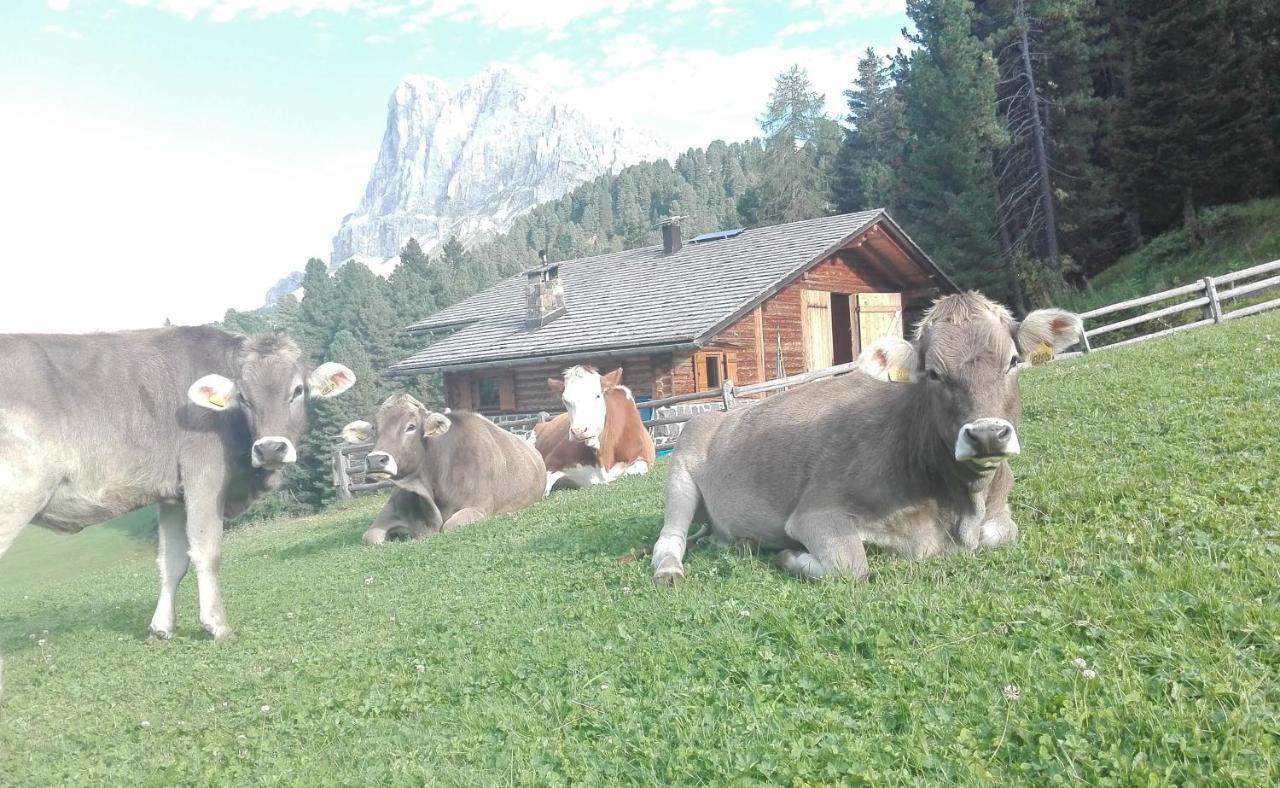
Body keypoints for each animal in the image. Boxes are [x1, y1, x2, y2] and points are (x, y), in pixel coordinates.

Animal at [0, 326, 355, 695]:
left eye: (297, 390)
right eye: (243, 396)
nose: (270, 448)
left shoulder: (172, 496)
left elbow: (171, 562)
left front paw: (162, 628)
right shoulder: (204, 477)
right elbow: (207, 552)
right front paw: (216, 625)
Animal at [340, 391, 545, 544]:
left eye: (411, 427)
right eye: (374, 428)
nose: (376, 460)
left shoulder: (479, 506)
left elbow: (449, 526)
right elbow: (370, 537)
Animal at [650, 294, 1080, 585]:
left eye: (1013, 361)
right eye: (934, 373)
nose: (987, 434)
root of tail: (716, 414)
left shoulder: (997, 514)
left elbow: (1003, 534)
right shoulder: (815, 512)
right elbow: (851, 566)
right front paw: (790, 556)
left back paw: (743, 543)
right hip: (680, 473)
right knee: (670, 537)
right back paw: (671, 569)